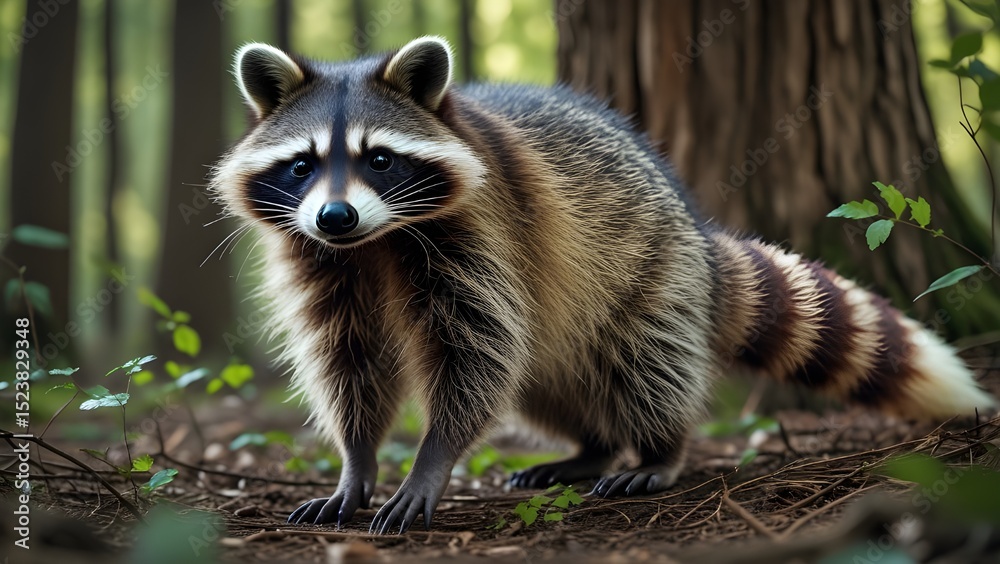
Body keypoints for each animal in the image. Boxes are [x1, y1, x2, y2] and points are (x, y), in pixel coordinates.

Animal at [210, 36, 996, 534]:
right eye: (303, 165)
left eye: (379, 158)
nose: (335, 215)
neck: (373, 243)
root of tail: (699, 235)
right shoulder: (321, 260)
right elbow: (350, 360)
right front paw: (356, 461)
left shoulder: (481, 234)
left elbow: (474, 355)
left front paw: (430, 459)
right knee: (544, 379)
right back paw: (591, 446)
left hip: (653, 276)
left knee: (643, 365)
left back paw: (658, 450)